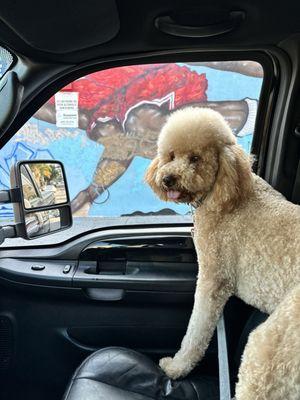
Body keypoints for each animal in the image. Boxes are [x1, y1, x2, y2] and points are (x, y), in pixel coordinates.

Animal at [145, 107, 300, 400]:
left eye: (195, 158)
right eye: (171, 155)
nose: (168, 178)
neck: (227, 191)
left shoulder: (213, 279)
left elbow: (196, 331)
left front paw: (176, 367)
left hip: (275, 347)